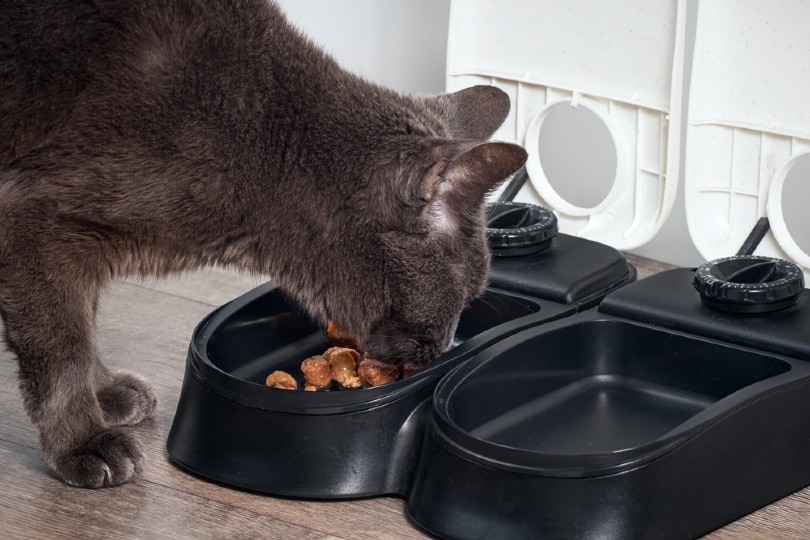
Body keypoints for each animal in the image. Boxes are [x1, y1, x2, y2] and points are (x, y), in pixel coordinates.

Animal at [0, 0, 524, 490]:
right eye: (464, 293)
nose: (444, 347)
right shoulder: (31, 219)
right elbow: (63, 348)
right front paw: (85, 442)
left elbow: (84, 319)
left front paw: (108, 394)